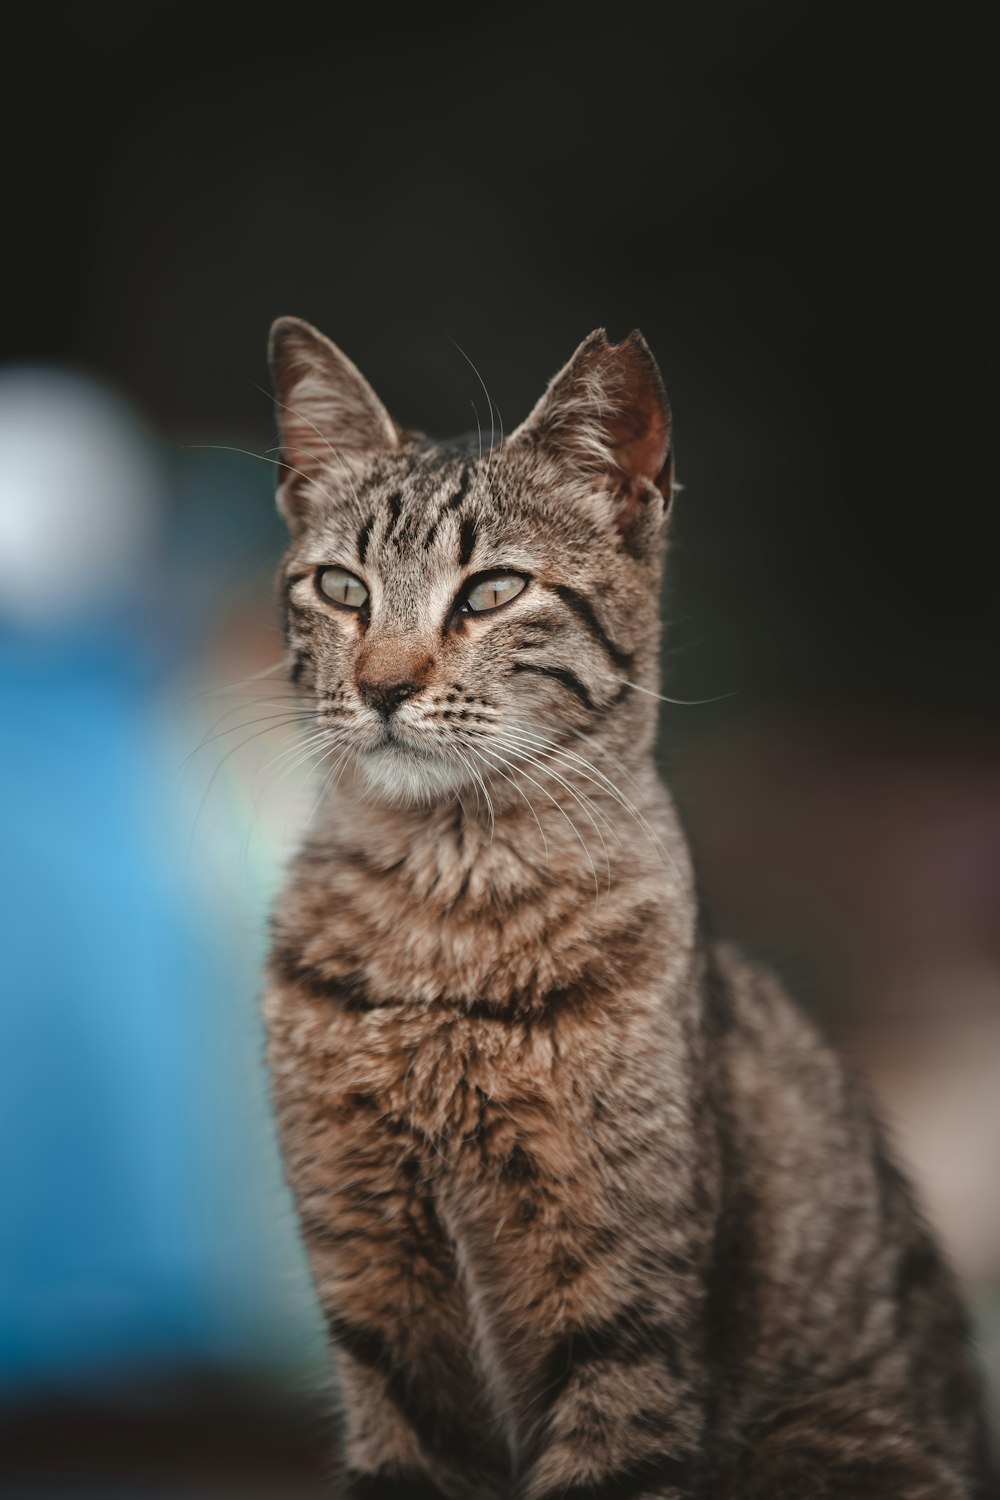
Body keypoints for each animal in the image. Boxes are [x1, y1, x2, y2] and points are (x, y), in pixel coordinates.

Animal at [260, 313, 995, 1488]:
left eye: (490, 592)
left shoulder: (622, 1311)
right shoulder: (374, 1296)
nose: (381, 686)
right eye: (340, 589)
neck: (441, 914)